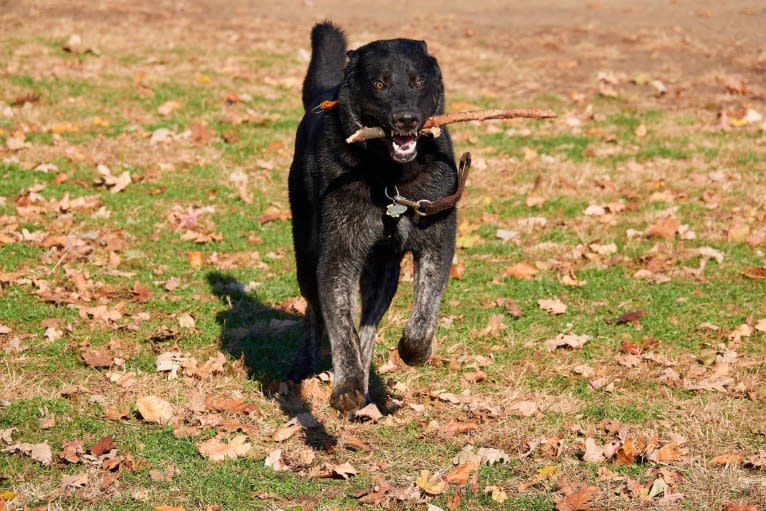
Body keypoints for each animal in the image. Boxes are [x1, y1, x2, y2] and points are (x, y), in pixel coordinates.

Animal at [290, 22, 464, 412]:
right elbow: (341, 326)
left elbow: (424, 313)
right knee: (315, 310)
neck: (390, 178)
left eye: (417, 81)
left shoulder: (437, 245)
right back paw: (307, 365)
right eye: (379, 83)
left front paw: (414, 351)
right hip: (306, 256)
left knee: (369, 325)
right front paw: (347, 386)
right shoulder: (337, 256)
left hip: (383, 274)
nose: (406, 119)